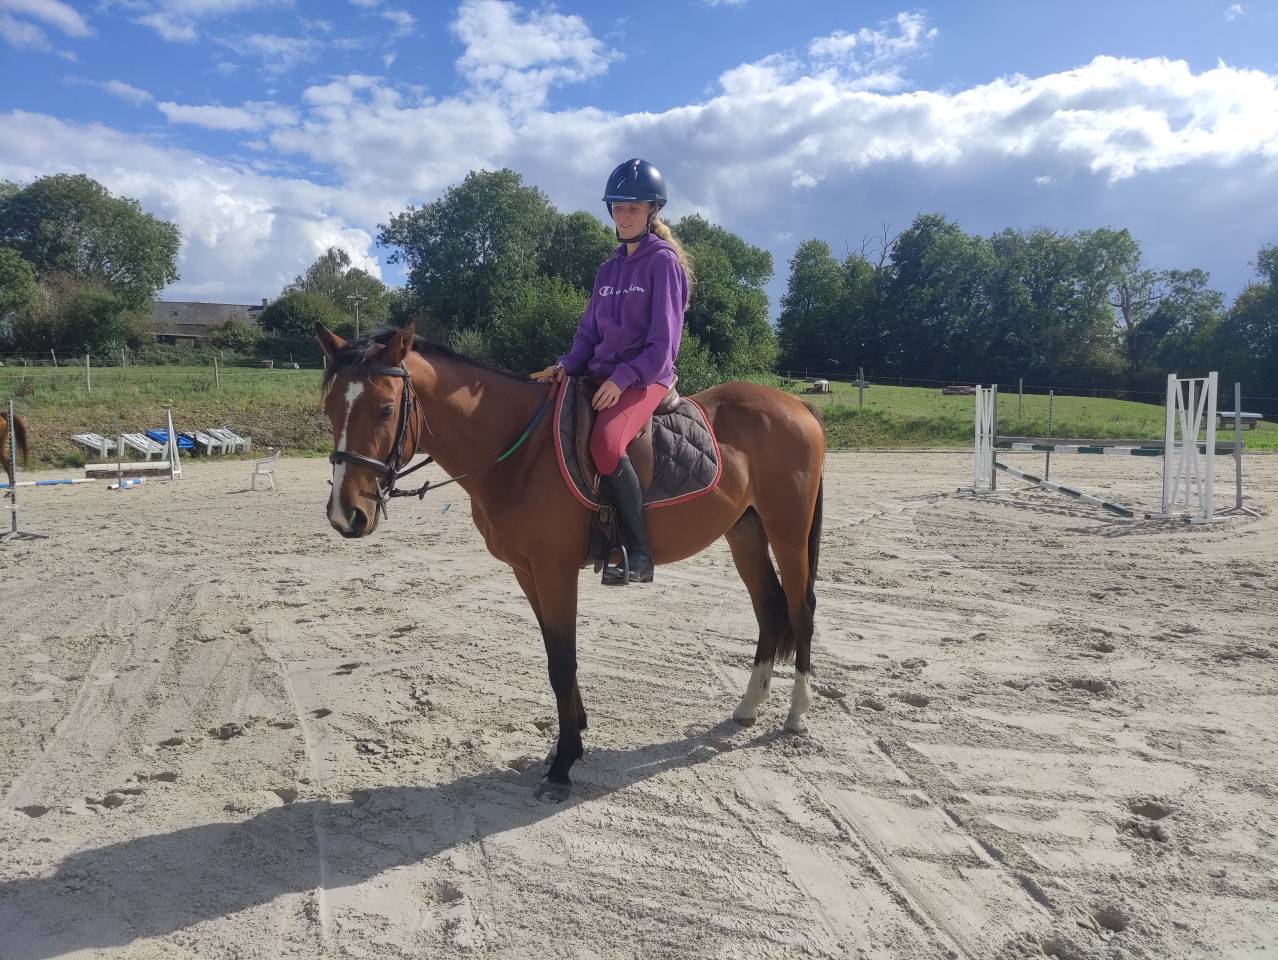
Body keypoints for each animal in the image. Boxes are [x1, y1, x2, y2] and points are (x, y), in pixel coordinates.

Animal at [318, 323, 825, 801]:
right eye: (329, 410)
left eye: (386, 410)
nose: (347, 515)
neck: (519, 451)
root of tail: (797, 406)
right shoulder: (527, 571)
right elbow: (555, 656)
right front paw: (573, 734)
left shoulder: (554, 570)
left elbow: (563, 662)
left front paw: (562, 765)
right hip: (745, 533)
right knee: (768, 609)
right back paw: (748, 707)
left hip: (787, 530)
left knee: (800, 609)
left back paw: (798, 713)